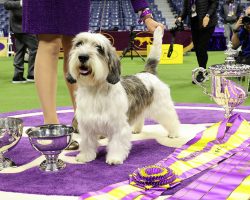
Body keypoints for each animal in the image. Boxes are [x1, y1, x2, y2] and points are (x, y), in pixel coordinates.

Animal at [69, 27, 180, 165]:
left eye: (99, 48)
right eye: (79, 44)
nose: (82, 56)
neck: (95, 91)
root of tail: (147, 72)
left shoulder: (118, 126)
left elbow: (117, 143)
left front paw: (114, 158)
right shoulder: (86, 126)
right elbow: (87, 143)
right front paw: (86, 156)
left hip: (163, 108)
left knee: (172, 119)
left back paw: (174, 133)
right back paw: (137, 129)